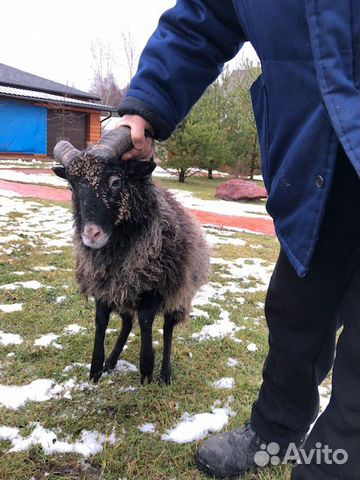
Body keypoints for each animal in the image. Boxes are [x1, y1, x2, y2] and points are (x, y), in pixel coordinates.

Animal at [52, 125, 210, 384]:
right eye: (72, 187)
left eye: (116, 181)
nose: (91, 234)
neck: (118, 251)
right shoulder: (104, 284)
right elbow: (101, 320)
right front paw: (96, 368)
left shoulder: (156, 286)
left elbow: (146, 320)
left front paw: (147, 368)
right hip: (125, 294)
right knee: (127, 322)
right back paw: (111, 361)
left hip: (179, 292)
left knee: (167, 329)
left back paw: (165, 374)